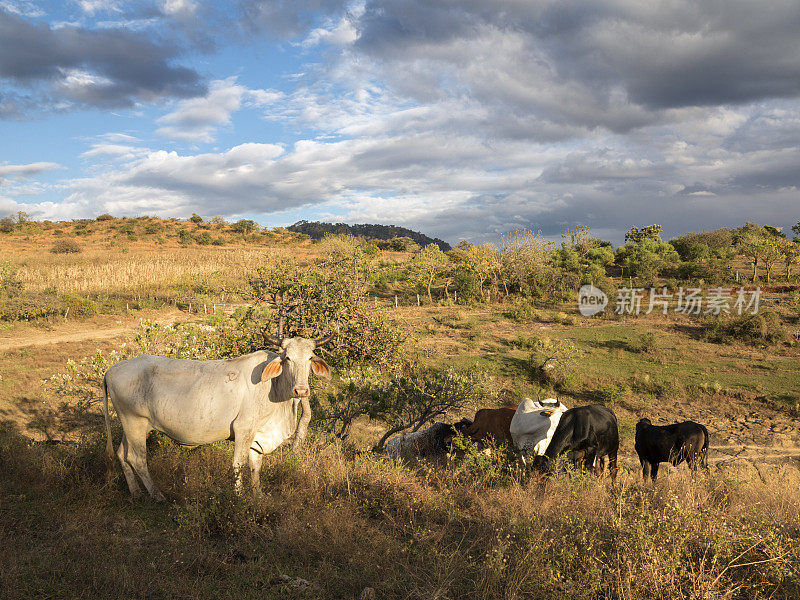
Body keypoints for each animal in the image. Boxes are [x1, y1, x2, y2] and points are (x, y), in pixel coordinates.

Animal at [102, 332, 332, 502]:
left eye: (310, 358)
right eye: (287, 358)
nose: (301, 391)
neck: (274, 389)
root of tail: (112, 369)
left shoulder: (257, 434)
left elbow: (256, 466)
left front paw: (258, 495)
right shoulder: (243, 429)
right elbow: (238, 464)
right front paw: (239, 497)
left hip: (129, 426)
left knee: (122, 454)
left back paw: (135, 492)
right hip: (135, 423)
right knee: (137, 459)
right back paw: (157, 495)